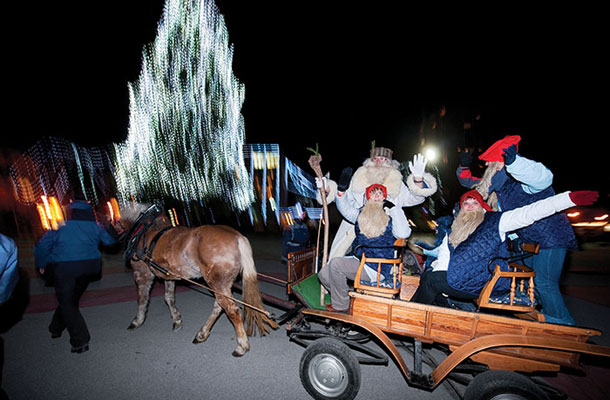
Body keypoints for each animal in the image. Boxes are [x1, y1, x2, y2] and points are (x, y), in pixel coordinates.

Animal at [118, 205, 278, 358]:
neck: (145, 229)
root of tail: (237, 236)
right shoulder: (169, 275)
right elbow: (169, 298)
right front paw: (176, 320)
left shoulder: (142, 274)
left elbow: (142, 299)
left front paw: (137, 321)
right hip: (221, 284)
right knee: (219, 306)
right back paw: (202, 334)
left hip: (216, 283)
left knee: (231, 310)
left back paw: (241, 346)